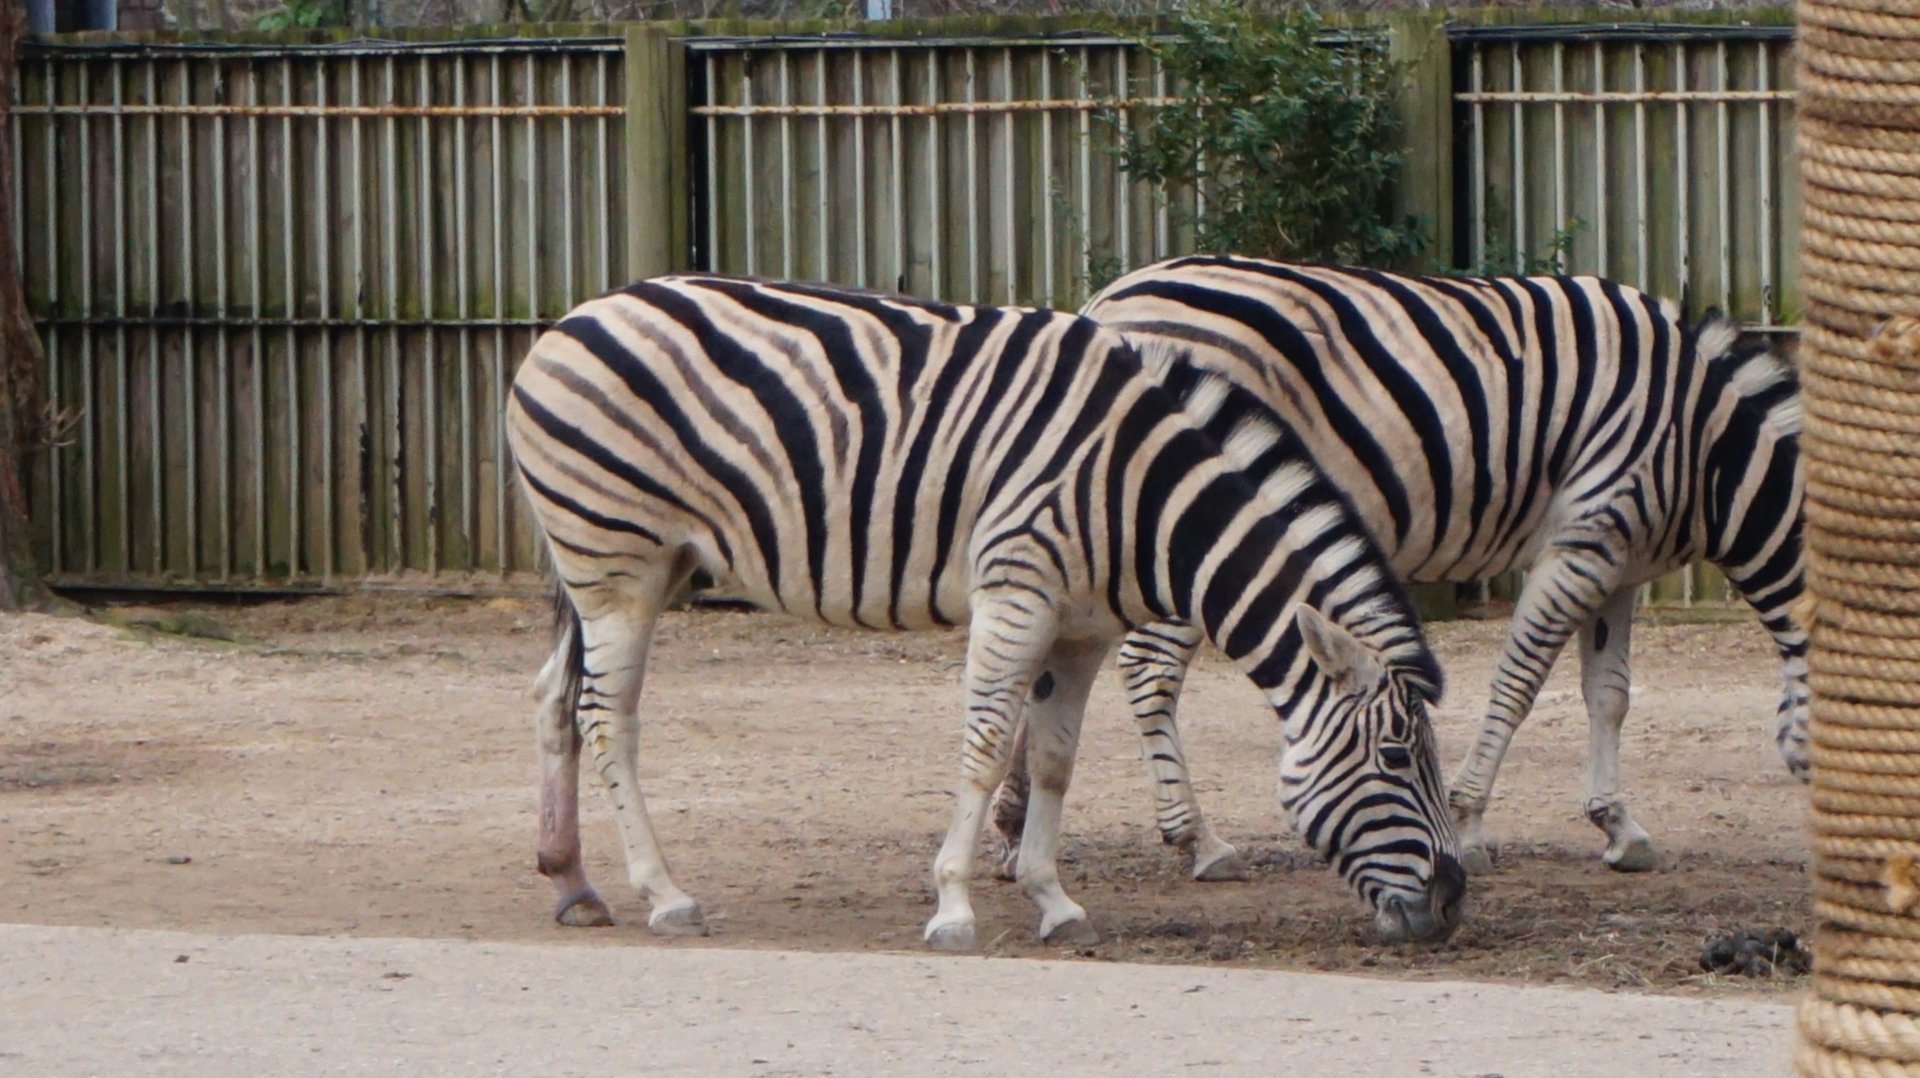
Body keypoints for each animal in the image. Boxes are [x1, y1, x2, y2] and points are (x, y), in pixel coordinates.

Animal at [506, 273, 1466, 950]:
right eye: (1395, 757)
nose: (1453, 902)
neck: (1138, 492)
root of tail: (579, 315)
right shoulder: (1017, 592)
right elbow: (983, 744)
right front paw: (955, 908)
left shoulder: (1082, 629)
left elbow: (1054, 760)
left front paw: (1054, 900)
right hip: (618, 563)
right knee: (607, 716)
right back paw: (665, 895)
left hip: (632, 564)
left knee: (556, 695)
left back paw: (572, 885)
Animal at [990, 255, 1805, 881]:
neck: (1709, 449)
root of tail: (1106, 303)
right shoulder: (1585, 537)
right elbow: (1518, 683)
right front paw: (1471, 824)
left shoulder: (1623, 566)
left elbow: (1608, 696)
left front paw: (1619, 828)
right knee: (1149, 671)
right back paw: (1199, 840)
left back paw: (1012, 821)